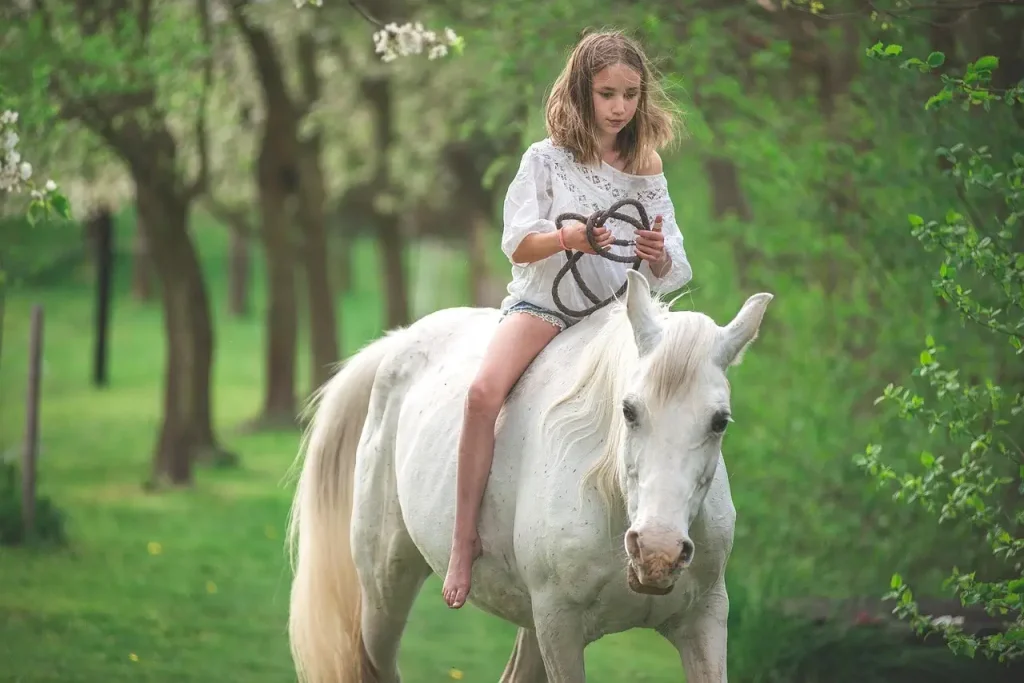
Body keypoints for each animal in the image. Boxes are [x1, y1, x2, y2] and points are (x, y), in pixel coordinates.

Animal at [285, 270, 773, 683]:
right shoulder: (559, 628)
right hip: (384, 588)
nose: (658, 552)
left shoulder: (704, 621)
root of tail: (399, 342)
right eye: (630, 410)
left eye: (720, 421)